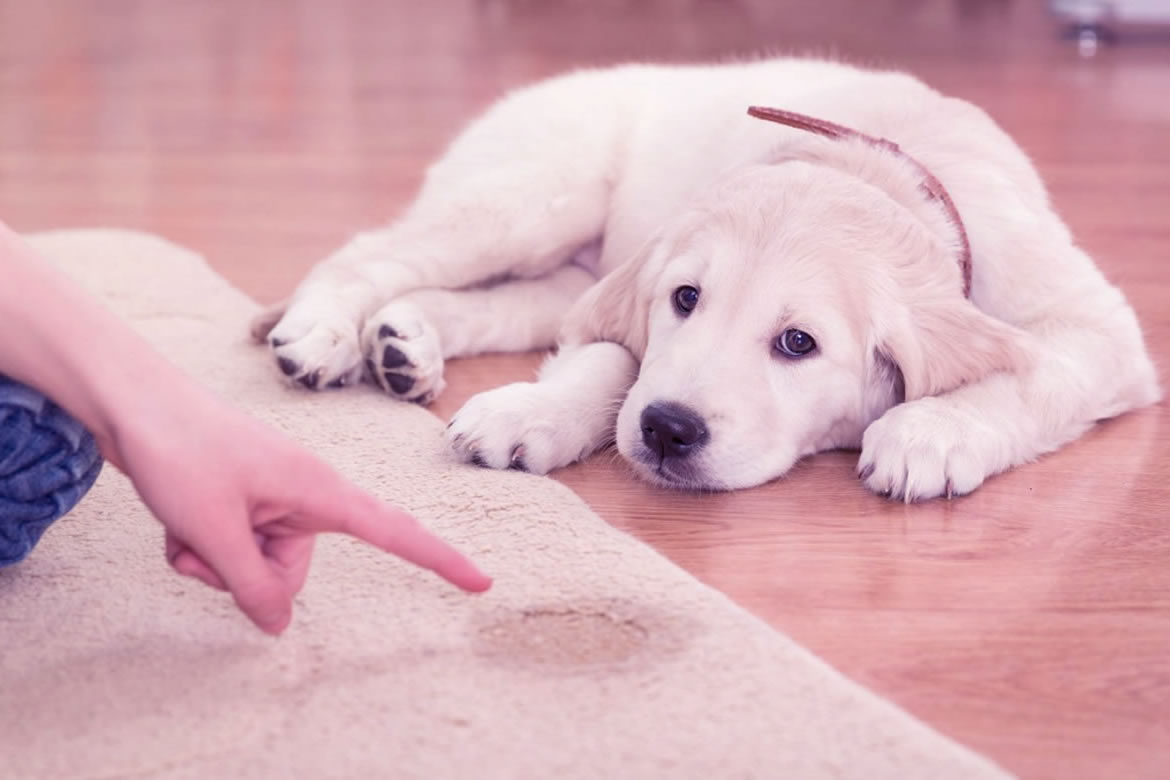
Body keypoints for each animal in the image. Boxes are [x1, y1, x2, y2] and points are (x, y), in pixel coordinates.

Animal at [249, 59, 1160, 500]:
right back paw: (324, 335)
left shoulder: (1097, 328)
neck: (878, 166)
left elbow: (1034, 371)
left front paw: (930, 432)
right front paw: (534, 412)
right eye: (685, 301)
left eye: (798, 343)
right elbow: (611, 359)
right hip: (533, 196)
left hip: (562, 261)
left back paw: (405, 344)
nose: (667, 431)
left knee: (501, 304)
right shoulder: (634, 295)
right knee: (372, 252)